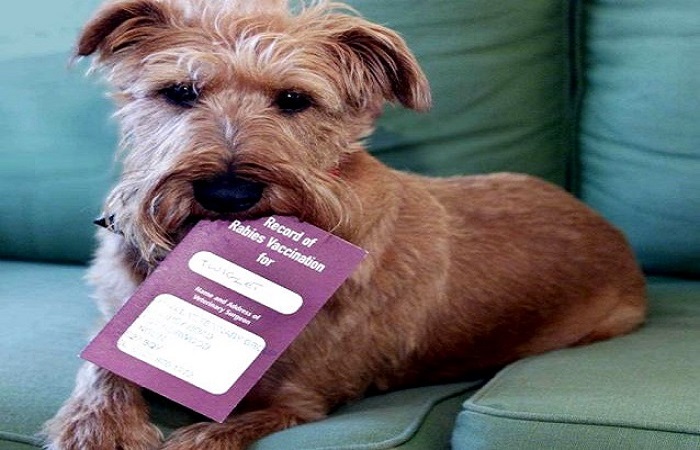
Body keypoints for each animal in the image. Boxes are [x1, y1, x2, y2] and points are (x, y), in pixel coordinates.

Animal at [43, 0, 647, 448]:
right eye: (180, 92)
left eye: (294, 99)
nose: (228, 193)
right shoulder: (115, 322)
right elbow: (101, 368)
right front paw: (98, 428)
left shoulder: (302, 398)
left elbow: (216, 432)